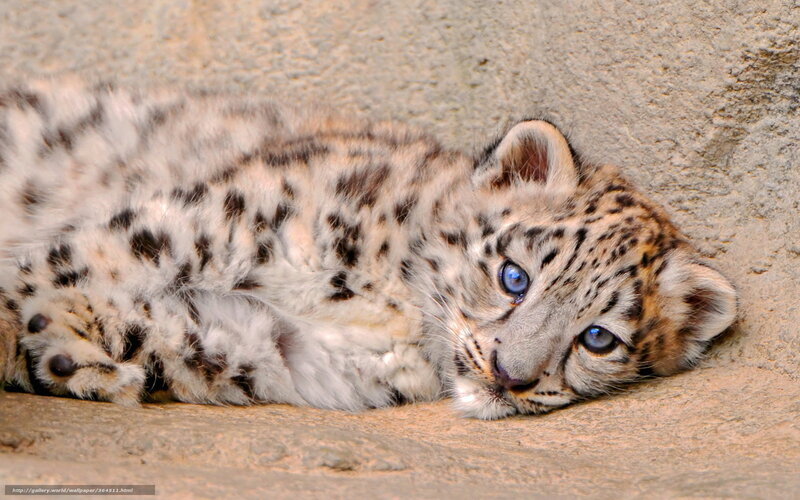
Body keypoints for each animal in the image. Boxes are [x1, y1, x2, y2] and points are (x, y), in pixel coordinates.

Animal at [0, 79, 737, 419]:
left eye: (597, 339)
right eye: (514, 276)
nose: (510, 376)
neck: (387, 304)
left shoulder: (261, 343)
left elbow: (150, 328)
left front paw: (76, 363)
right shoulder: (214, 219)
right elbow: (78, 262)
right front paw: (55, 347)